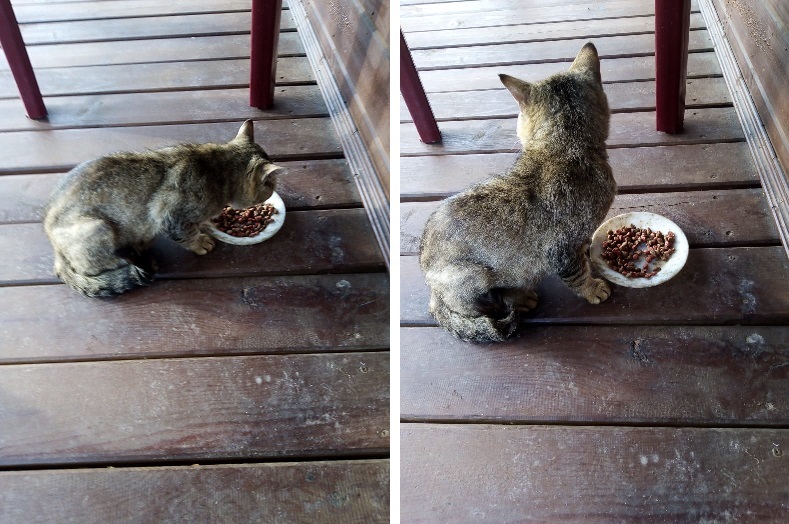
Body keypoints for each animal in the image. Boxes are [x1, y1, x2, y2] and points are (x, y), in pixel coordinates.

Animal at [43, 119, 284, 298]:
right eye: (270, 186)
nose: (273, 190)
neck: (217, 168)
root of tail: (55, 250)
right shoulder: (170, 217)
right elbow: (187, 235)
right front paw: (200, 242)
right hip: (99, 228)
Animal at [418, 43, 616, 342]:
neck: (565, 146)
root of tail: (432, 290)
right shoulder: (561, 250)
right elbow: (577, 274)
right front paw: (592, 288)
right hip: (473, 275)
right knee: (484, 302)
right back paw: (518, 298)